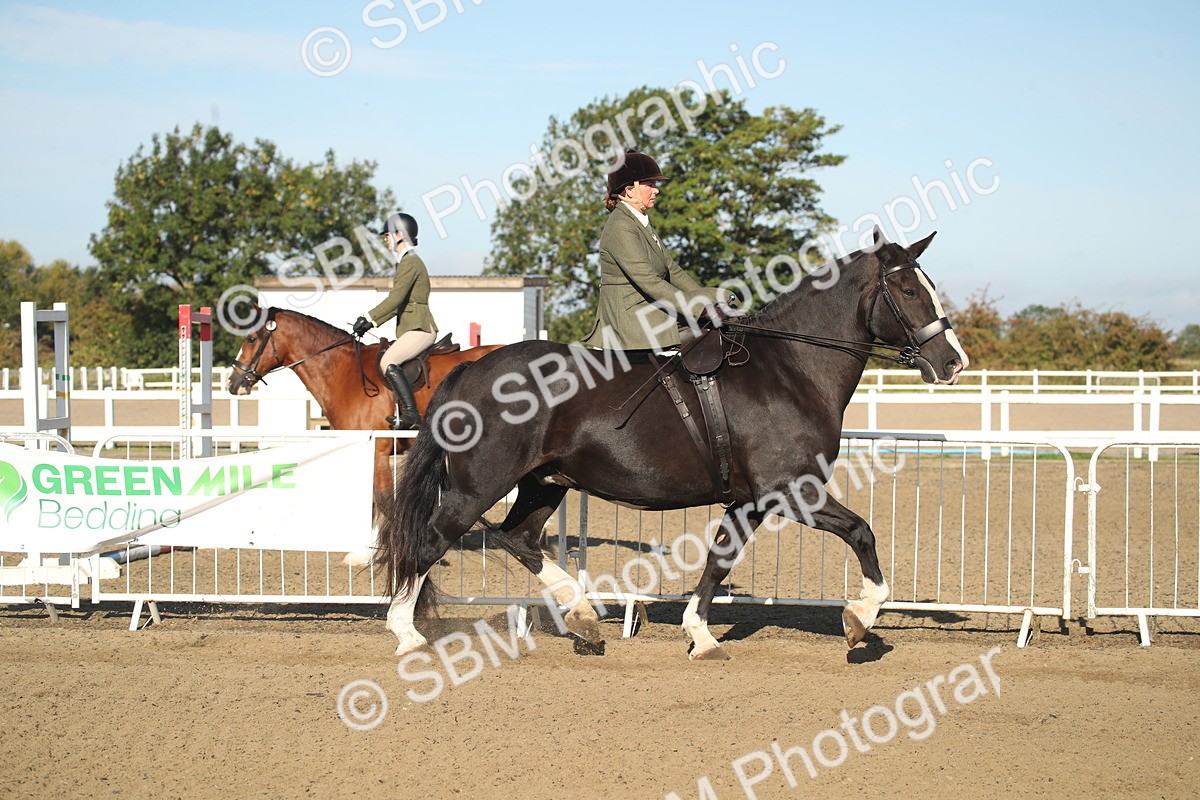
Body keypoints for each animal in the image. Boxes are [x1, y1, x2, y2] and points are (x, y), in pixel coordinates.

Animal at [226, 307, 504, 562]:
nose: (232, 383)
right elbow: (370, 500)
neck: (343, 371)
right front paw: (365, 552)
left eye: (251, 339)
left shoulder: (379, 450)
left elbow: (383, 500)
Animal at [378, 229, 968, 659]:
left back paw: (585, 620)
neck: (789, 371)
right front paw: (859, 619)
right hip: (477, 487)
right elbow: (862, 533)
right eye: (910, 291)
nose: (954, 362)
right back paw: (406, 633)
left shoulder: (750, 501)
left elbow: (719, 560)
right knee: (431, 541)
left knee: (518, 538)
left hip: (544, 483)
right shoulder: (791, 490)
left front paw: (700, 635)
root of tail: (471, 369)